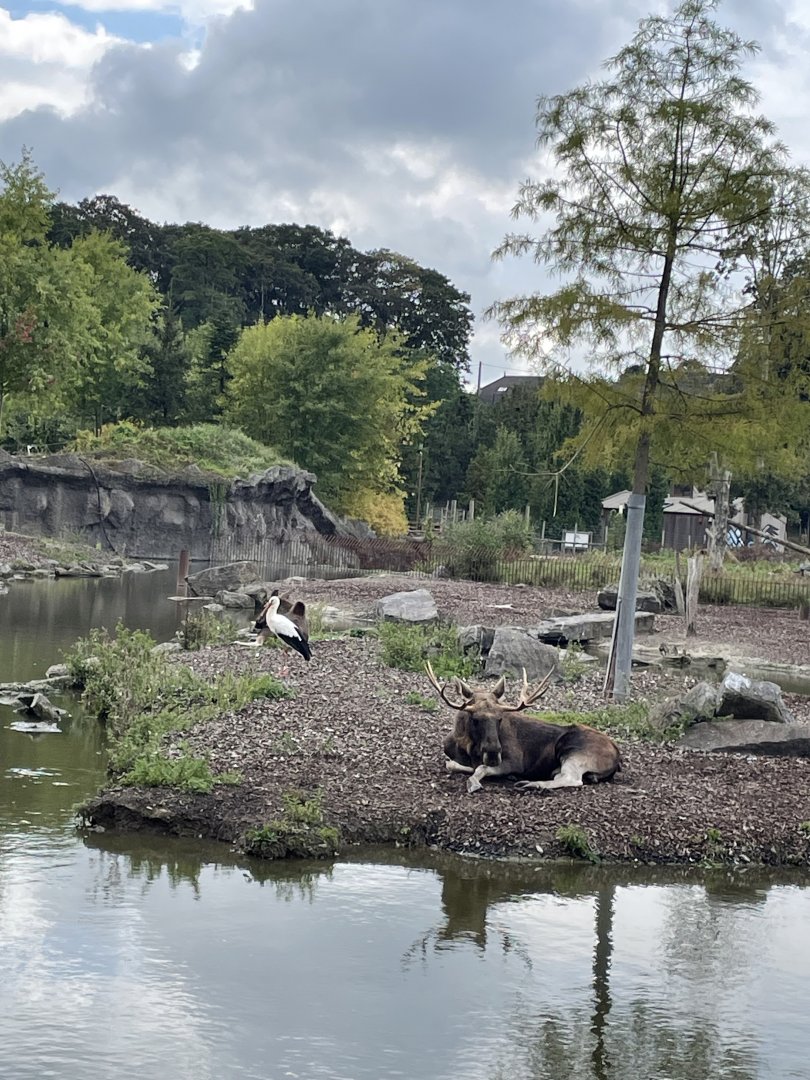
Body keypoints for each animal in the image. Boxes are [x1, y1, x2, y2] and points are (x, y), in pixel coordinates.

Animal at [425, 662, 622, 794]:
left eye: (500, 719)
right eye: (475, 719)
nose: (493, 753)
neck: (465, 745)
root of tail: (617, 755)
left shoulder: (515, 761)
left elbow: (480, 768)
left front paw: (474, 782)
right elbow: (454, 764)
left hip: (573, 751)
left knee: (571, 778)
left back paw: (532, 783)